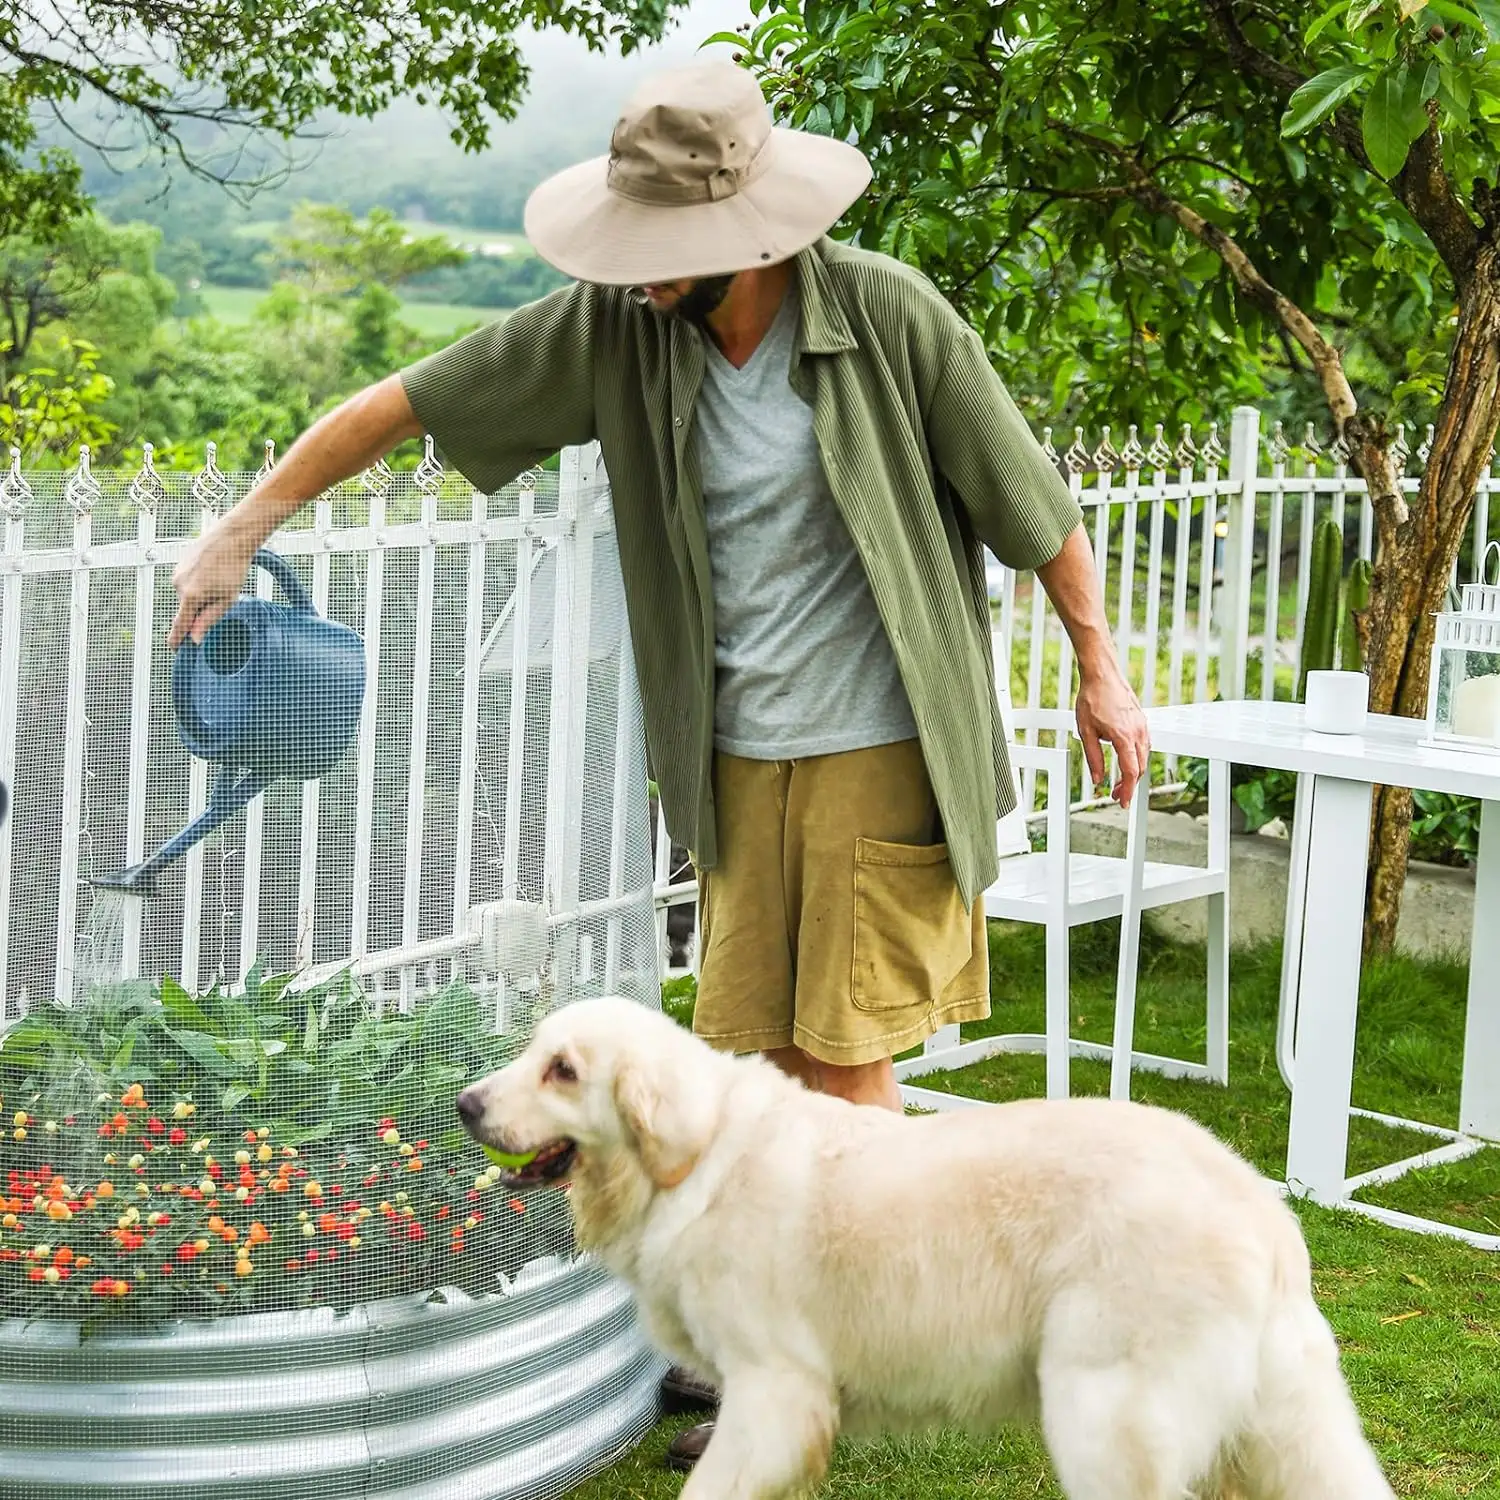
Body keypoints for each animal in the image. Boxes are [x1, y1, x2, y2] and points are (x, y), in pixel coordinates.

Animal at [456, 996, 1392, 1500]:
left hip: (1101, 1418)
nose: (465, 1104)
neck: (693, 1161)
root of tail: (1264, 1215)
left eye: (564, 1071)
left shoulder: (774, 1393)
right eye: (531, 1053)